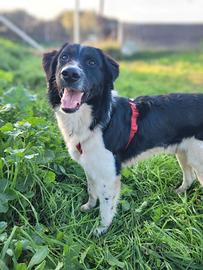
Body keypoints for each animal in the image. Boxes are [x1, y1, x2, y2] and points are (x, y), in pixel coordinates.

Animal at [42, 43, 203, 235]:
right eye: (64, 58)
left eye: (91, 62)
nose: (70, 73)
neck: (97, 118)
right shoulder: (90, 164)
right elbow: (91, 189)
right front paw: (88, 207)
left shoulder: (109, 174)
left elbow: (106, 207)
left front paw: (101, 230)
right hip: (185, 152)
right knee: (189, 177)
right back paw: (179, 191)